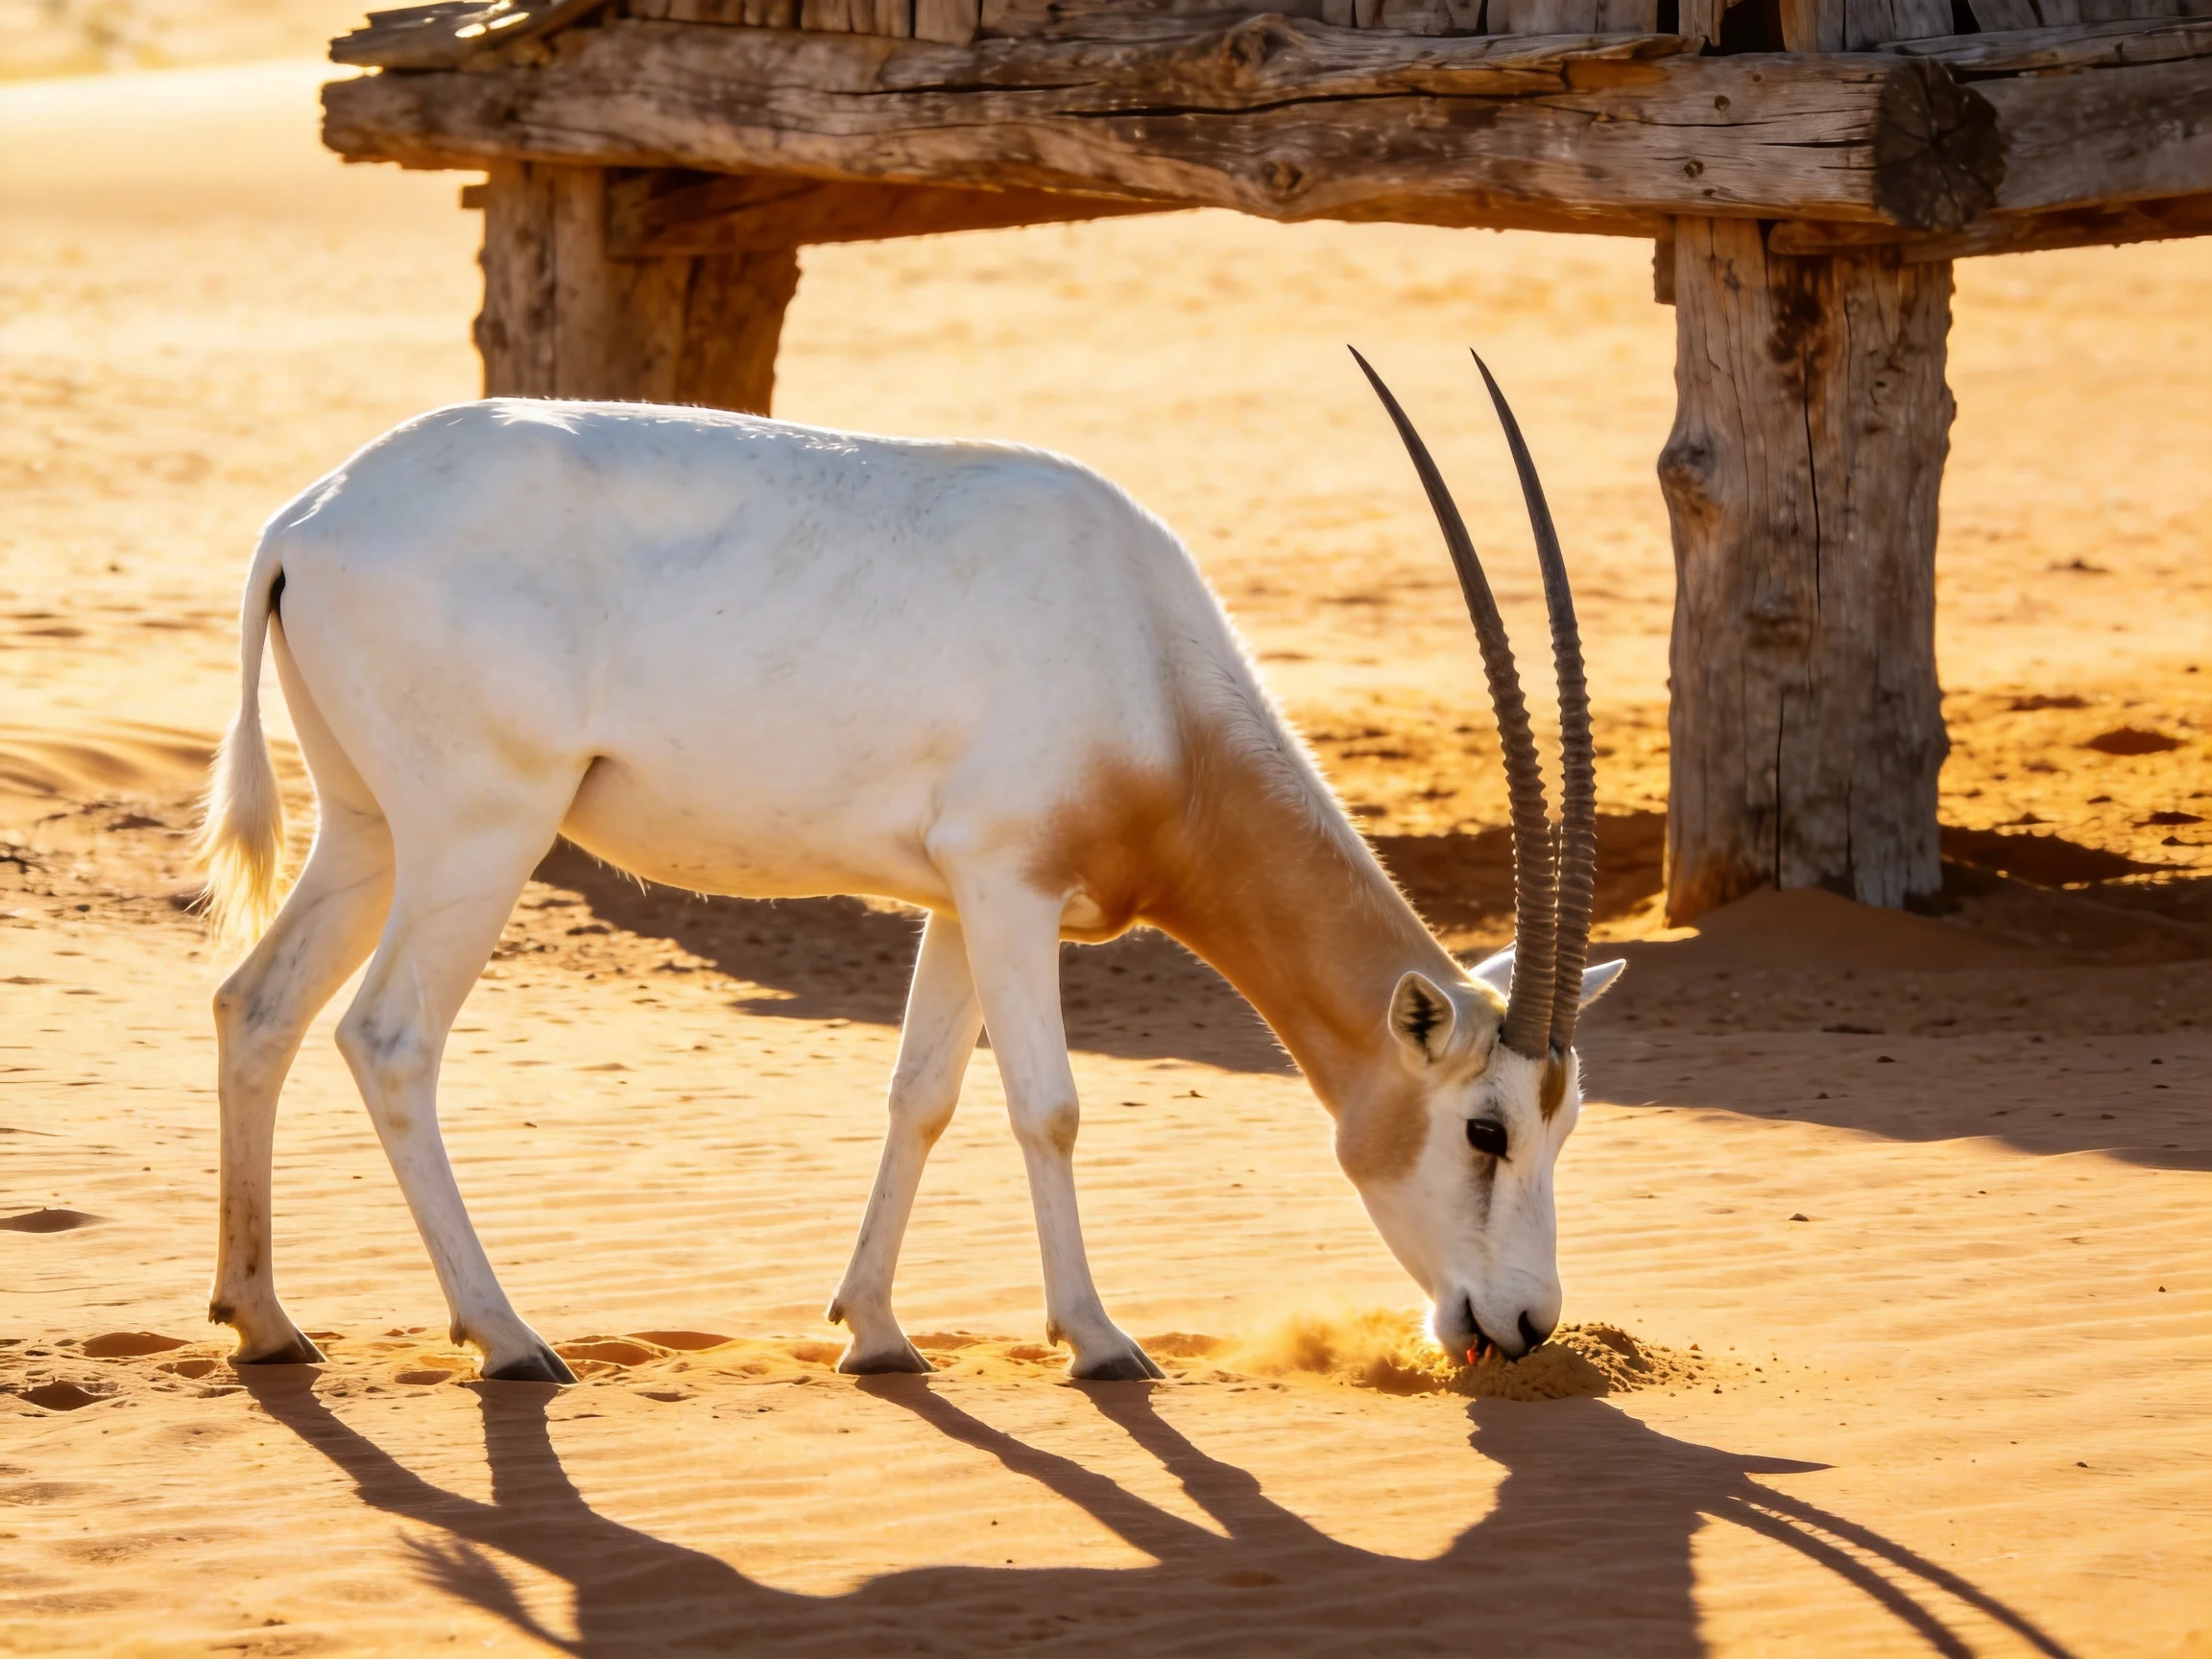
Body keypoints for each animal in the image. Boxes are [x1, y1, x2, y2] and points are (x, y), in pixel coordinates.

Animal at [201, 353, 1622, 1384]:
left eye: (1566, 1124)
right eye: (1484, 1126)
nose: (1525, 1324)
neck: (1148, 669)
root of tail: (306, 519)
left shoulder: (956, 900)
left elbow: (921, 1095)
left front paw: (875, 1333)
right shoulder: (1011, 887)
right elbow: (1049, 1105)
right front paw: (1098, 1340)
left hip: (369, 833)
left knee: (255, 1004)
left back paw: (264, 1320)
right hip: (479, 835)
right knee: (388, 1037)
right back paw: (505, 1337)